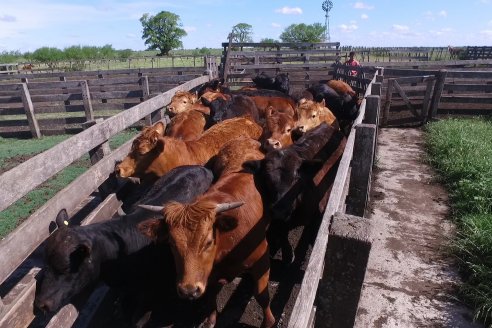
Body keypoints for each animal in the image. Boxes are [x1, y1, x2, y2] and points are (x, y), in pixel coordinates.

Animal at [139, 137, 276, 326]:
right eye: (172, 244)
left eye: (208, 242)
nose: (188, 290)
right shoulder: (208, 274)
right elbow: (210, 297)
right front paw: (210, 320)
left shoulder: (261, 260)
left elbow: (262, 296)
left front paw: (269, 321)